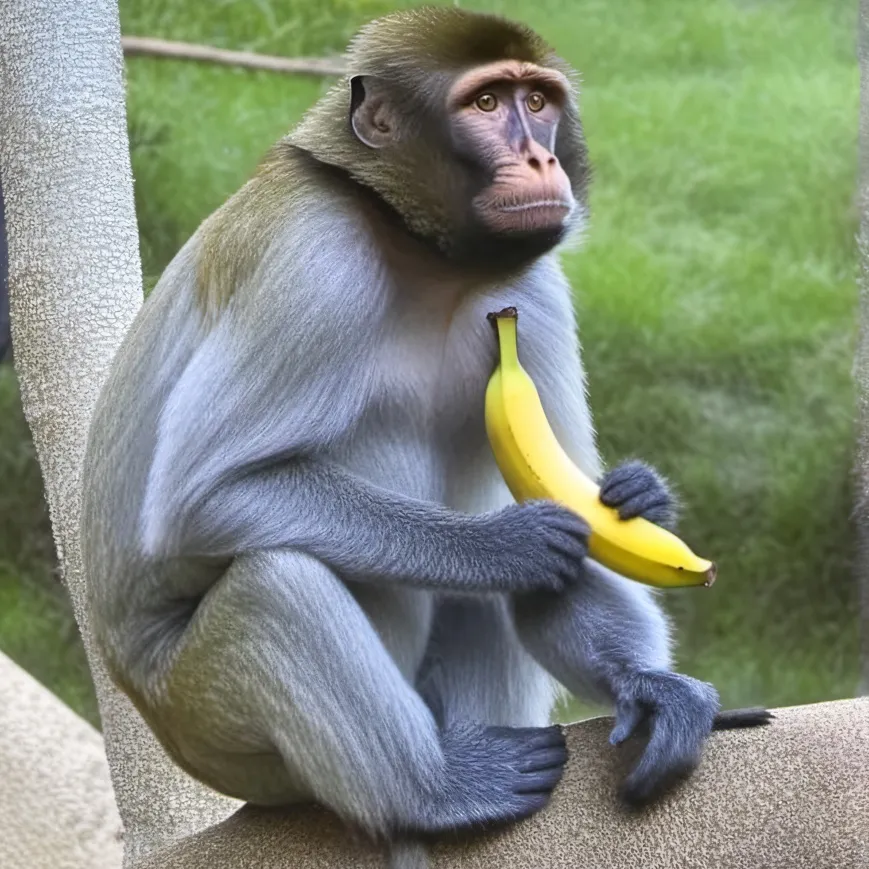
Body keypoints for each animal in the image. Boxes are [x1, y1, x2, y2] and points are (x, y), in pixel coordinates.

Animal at [80, 7, 770, 866]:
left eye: (536, 100)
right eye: (485, 104)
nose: (540, 155)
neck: (422, 254)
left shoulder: (526, 288)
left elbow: (573, 507)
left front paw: (640, 607)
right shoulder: (317, 262)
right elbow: (203, 497)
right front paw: (507, 544)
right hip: (209, 724)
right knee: (277, 580)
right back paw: (431, 792)